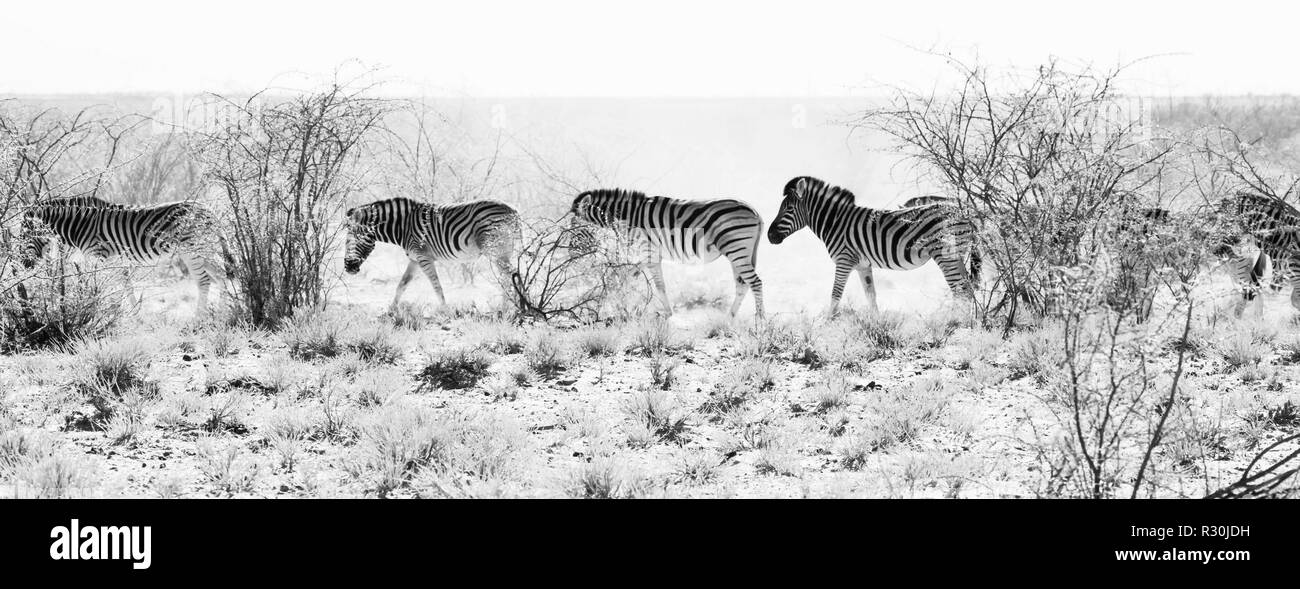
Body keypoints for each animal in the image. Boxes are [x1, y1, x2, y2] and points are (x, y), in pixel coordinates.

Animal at [19, 199, 226, 312]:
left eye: (25, 235)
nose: (24, 264)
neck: (80, 225)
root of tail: (208, 208)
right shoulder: (114, 259)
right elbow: (125, 286)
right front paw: (134, 315)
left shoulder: (99, 255)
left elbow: (101, 286)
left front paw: (98, 310)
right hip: (201, 250)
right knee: (222, 274)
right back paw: (225, 311)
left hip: (193, 248)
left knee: (205, 280)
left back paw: (199, 318)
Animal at [342, 197, 520, 313]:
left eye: (354, 239)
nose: (348, 267)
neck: (403, 227)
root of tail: (512, 210)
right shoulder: (414, 259)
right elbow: (402, 284)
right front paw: (391, 310)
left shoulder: (424, 257)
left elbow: (436, 285)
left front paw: (445, 309)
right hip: (504, 250)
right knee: (509, 274)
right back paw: (512, 305)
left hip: (495, 249)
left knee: (508, 274)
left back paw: (508, 306)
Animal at [569, 189, 765, 318]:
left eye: (575, 226)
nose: (571, 252)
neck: (628, 217)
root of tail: (756, 213)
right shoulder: (648, 253)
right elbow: (620, 278)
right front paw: (601, 303)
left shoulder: (649, 251)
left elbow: (659, 285)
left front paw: (668, 314)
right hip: (739, 253)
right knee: (742, 285)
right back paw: (729, 318)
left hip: (736, 249)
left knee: (755, 282)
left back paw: (760, 321)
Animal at [766, 176, 979, 313]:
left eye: (789, 209)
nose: (769, 236)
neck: (835, 222)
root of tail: (964, 212)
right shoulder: (863, 265)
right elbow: (871, 296)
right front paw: (877, 325)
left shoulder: (844, 260)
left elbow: (835, 295)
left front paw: (826, 326)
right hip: (957, 256)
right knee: (967, 289)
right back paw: (968, 322)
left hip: (945, 254)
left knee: (959, 290)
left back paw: (952, 323)